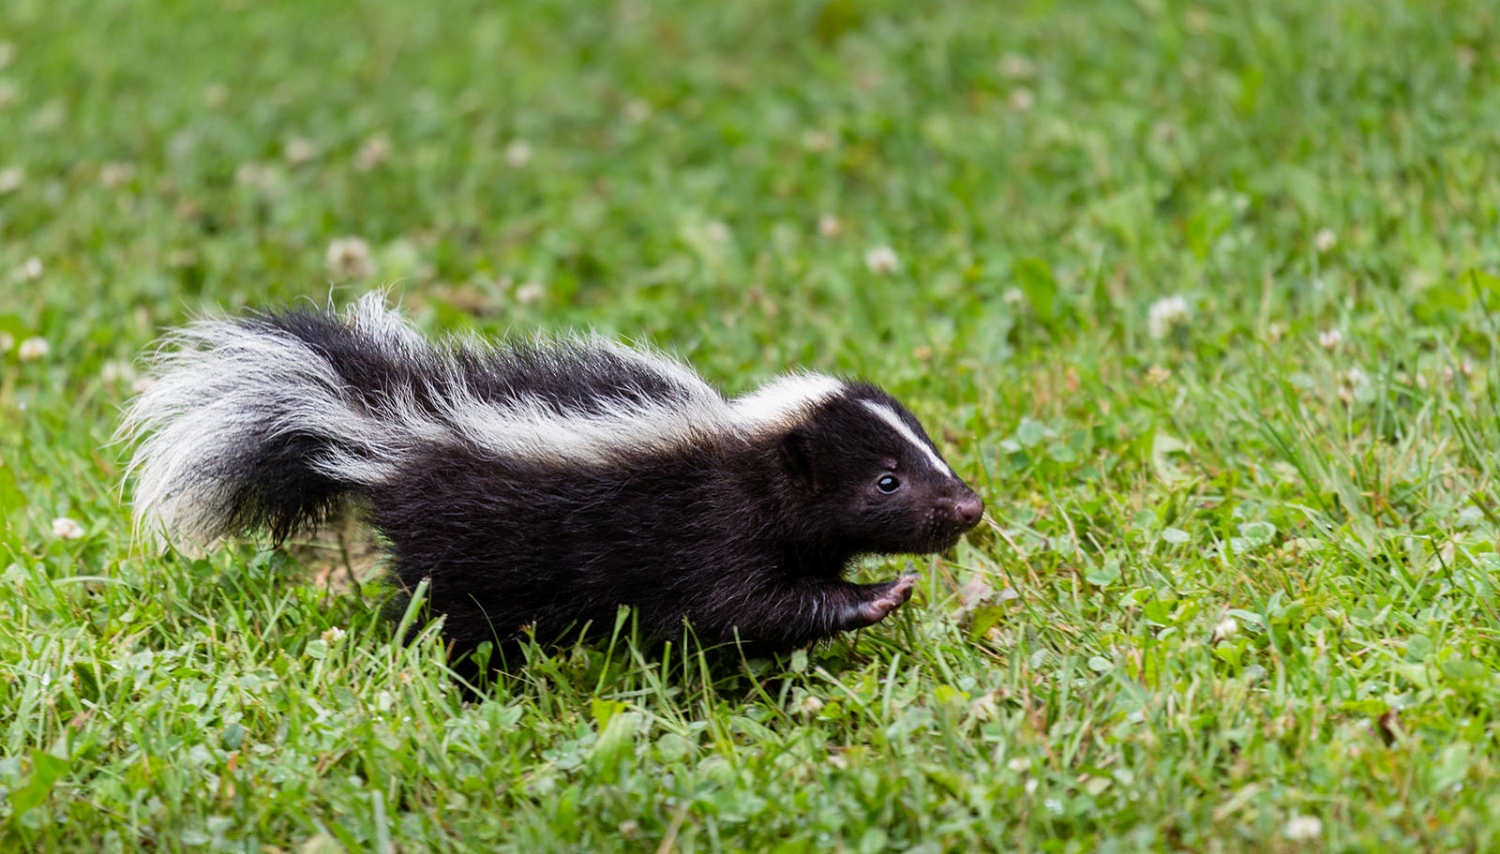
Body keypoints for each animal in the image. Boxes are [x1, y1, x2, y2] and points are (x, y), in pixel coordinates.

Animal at [120, 295, 984, 663]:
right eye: (886, 482)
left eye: (929, 454)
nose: (969, 505)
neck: (745, 453)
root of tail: (390, 416)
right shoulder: (706, 528)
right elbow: (741, 607)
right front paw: (877, 597)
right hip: (466, 546)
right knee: (447, 618)